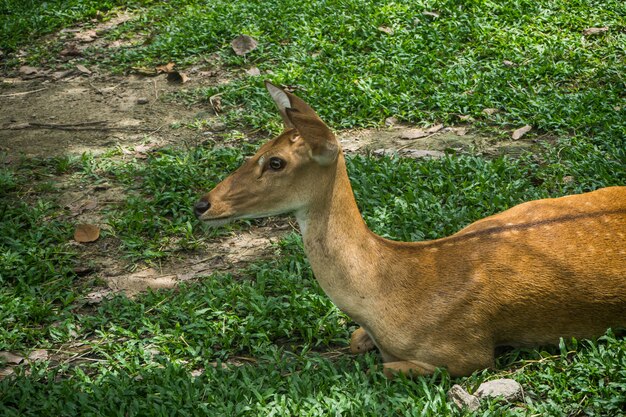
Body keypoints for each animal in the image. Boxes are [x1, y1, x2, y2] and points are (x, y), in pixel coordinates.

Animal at [195, 81, 624, 376]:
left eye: (276, 162)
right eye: (259, 149)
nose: (202, 204)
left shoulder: (468, 353)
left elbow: (387, 368)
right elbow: (354, 343)